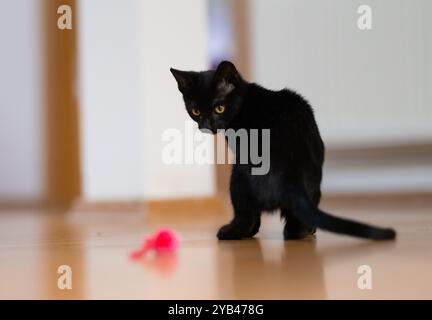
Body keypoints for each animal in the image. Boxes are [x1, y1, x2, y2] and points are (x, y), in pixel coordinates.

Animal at [170, 60, 396, 240]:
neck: (244, 101)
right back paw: (305, 231)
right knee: (299, 220)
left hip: (238, 175)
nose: (206, 125)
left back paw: (232, 233)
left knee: (246, 214)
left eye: (219, 108)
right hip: (314, 184)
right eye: (196, 111)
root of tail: (290, 174)